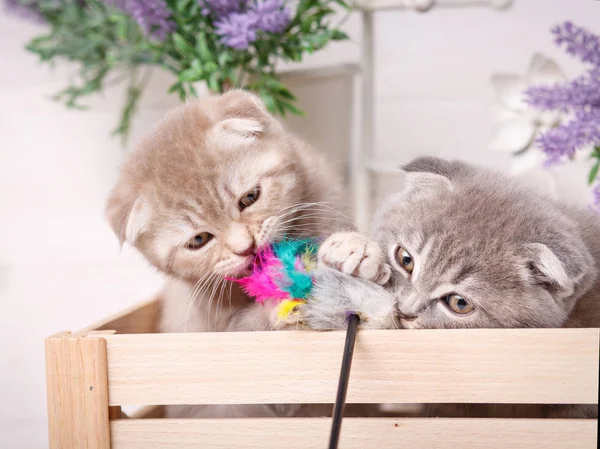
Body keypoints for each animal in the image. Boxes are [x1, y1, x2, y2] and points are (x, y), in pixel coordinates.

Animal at [106, 90, 352, 416]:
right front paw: (280, 308)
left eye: (249, 198)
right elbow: (246, 330)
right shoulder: (217, 328)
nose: (245, 246)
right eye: (199, 239)